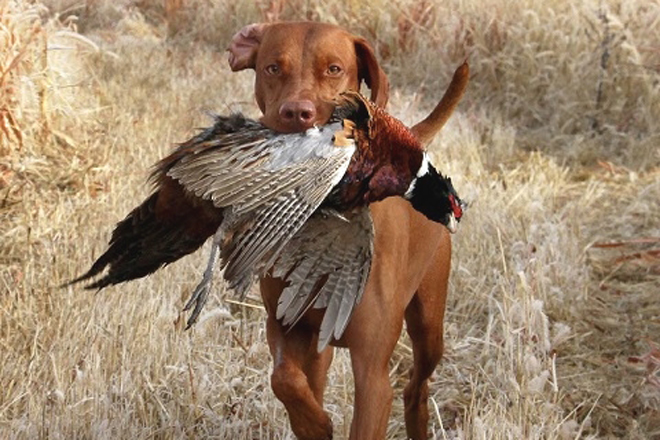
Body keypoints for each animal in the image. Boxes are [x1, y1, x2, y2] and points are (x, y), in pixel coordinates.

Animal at [229, 22, 466, 438]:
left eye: (334, 69)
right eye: (272, 68)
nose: (297, 112)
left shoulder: (373, 374)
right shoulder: (286, 327)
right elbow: (283, 378)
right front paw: (313, 423)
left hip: (429, 324)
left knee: (416, 387)